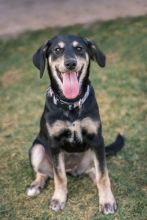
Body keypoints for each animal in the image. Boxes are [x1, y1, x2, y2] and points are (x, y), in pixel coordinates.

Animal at [26, 34, 124, 215]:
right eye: (57, 50)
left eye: (79, 48)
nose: (70, 63)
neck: (71, 104)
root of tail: (74, 170)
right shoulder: (54, 144)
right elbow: (59, 176)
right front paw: (58, 199)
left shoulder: (97, 140)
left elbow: (103, 175)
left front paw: (107, 201)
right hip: (37, 148)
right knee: (44, 173)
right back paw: (36, 185)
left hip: (93, 153)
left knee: (95, 171)